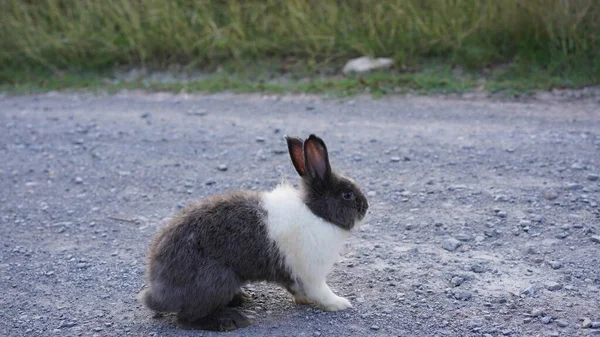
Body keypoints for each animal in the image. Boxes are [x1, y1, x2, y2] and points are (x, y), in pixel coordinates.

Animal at [138, 134, 368, 330]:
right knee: (186, 319)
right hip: (217, 279)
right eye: (347, 195)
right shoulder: (312, 273)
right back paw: (230, 320)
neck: (316, 214)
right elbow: (321, 292)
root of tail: (157, 293)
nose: (366, 207)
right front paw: (340, 303)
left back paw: (240, 299)